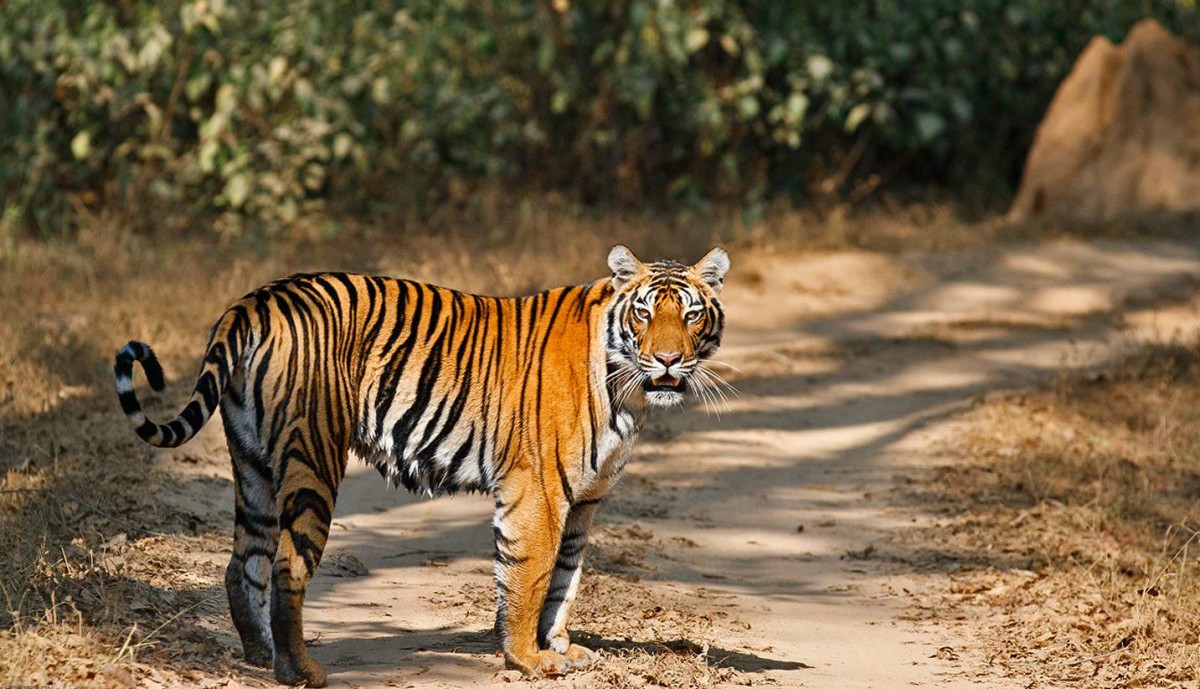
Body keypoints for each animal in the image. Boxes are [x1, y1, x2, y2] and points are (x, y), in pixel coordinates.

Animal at [112, 246, 729, 686]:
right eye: (645, 312)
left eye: (692, 314)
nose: (669, 360)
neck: (631, 391)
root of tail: (256, 298)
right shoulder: (539, 490)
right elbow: (531, 575)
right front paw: (527, 659)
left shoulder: (584, 499)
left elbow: (564, 579)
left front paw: (556, 646)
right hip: (313, 459)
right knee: (287, 565)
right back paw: (300, 671)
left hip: (253, 464)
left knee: (243, 564)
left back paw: (259, 658)